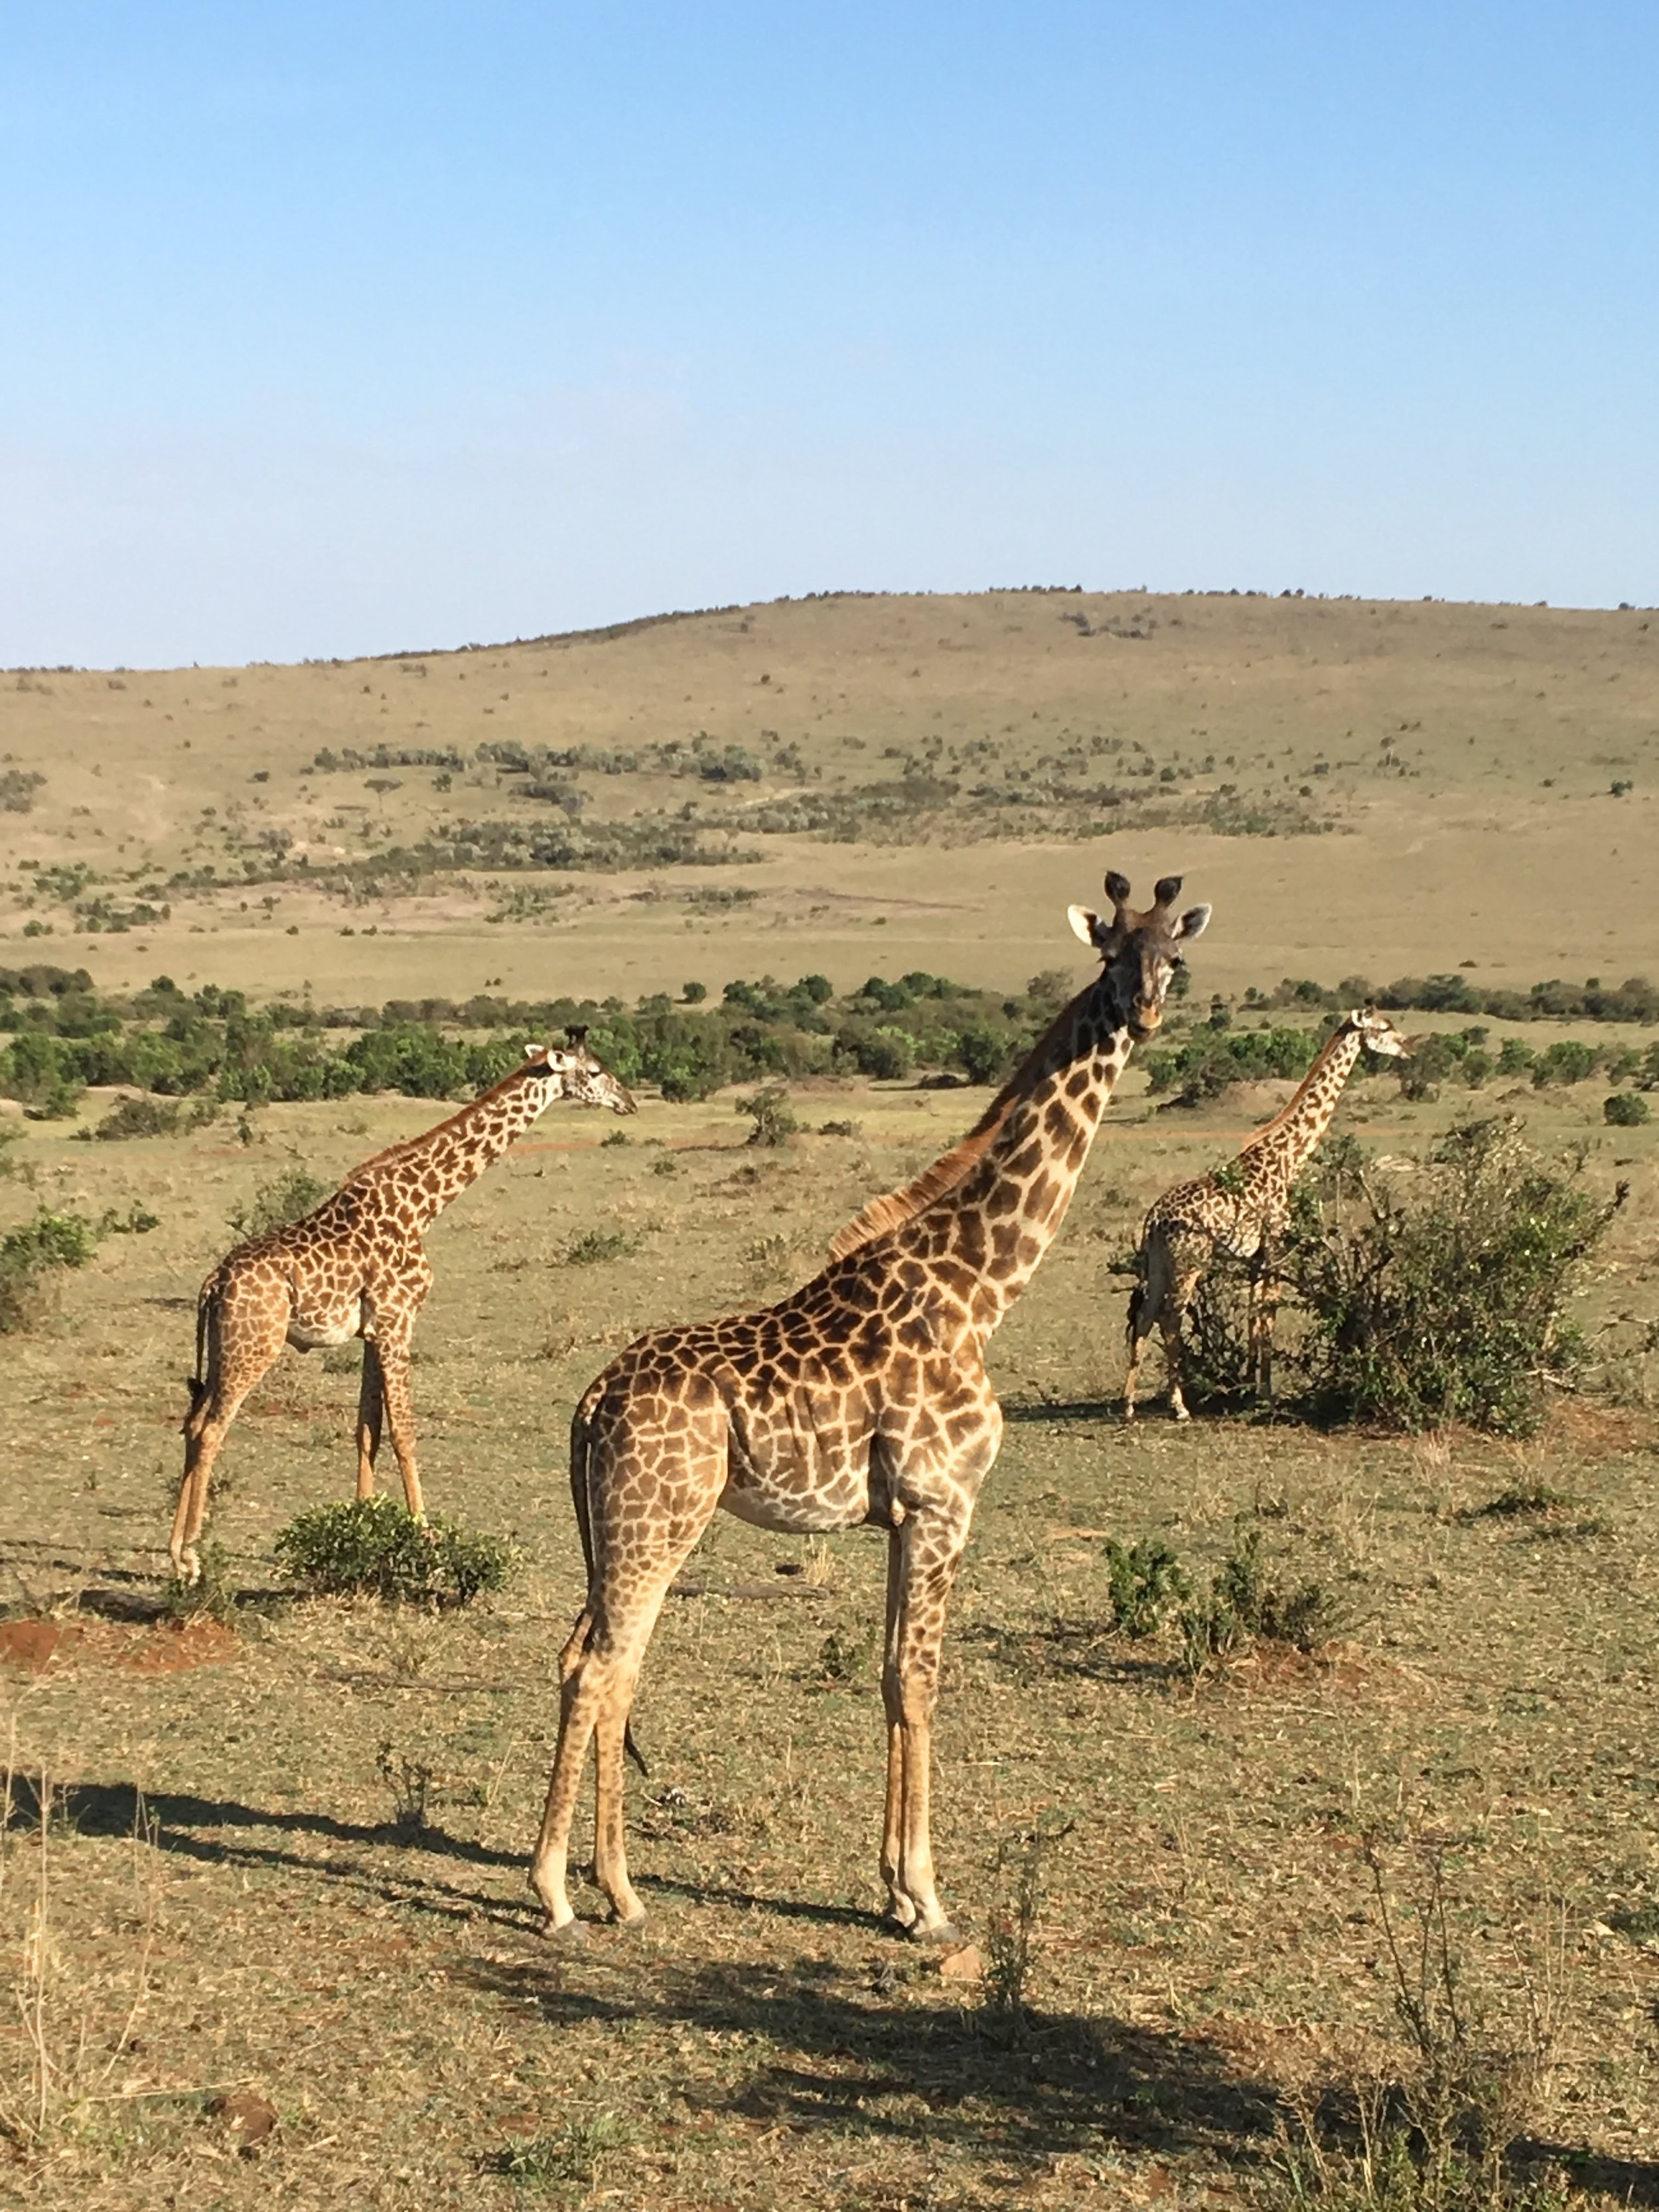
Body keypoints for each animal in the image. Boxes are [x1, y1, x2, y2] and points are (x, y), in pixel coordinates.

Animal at [169, 1036, 635, 1582]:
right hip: (254, 1346)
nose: (629, 1101)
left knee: (193, 1423)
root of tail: (213, 1283)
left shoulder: (373, 1331)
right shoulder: (399, 1320)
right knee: (212, 1429)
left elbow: (366, 1431)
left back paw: (174, 1552)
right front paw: (425, 1538)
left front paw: (360, 1527)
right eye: (596, 1071)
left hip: (225, 1348)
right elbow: (405, 1432)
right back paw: (191, 1558)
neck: (423, 1206)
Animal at [527, 871, 1210, 1942]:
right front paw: (928, 1898)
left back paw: (620, 1888)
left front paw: (894, 1888)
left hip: (621, 1526)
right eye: (1110, 954)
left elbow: (892, 1674)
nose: (1141, 1012)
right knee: (602, 1666)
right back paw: (560, 1890)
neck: (981, 1289)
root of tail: (590, 1403)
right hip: (656, 1520)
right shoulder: (943, 1502)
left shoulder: (903, 1515)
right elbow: (920, 1678)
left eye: (1172, 956)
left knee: (590, 1660)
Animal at [1122, 1006, 1411, 1422]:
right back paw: (1179, 1406)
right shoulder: (1276, 1244)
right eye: (1384, 1027)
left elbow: (1254, 1316)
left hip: (1159, 1262)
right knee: (1171, 1318)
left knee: (1145, 1316)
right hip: (1189, 1261)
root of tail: (1153, 1220)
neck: (1289, 1157)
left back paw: (1128, 1404)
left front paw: (1249, 1388)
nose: (1409, 1047)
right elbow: (1269, 1317)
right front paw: (1266, 1395)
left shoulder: (1256, 1256)